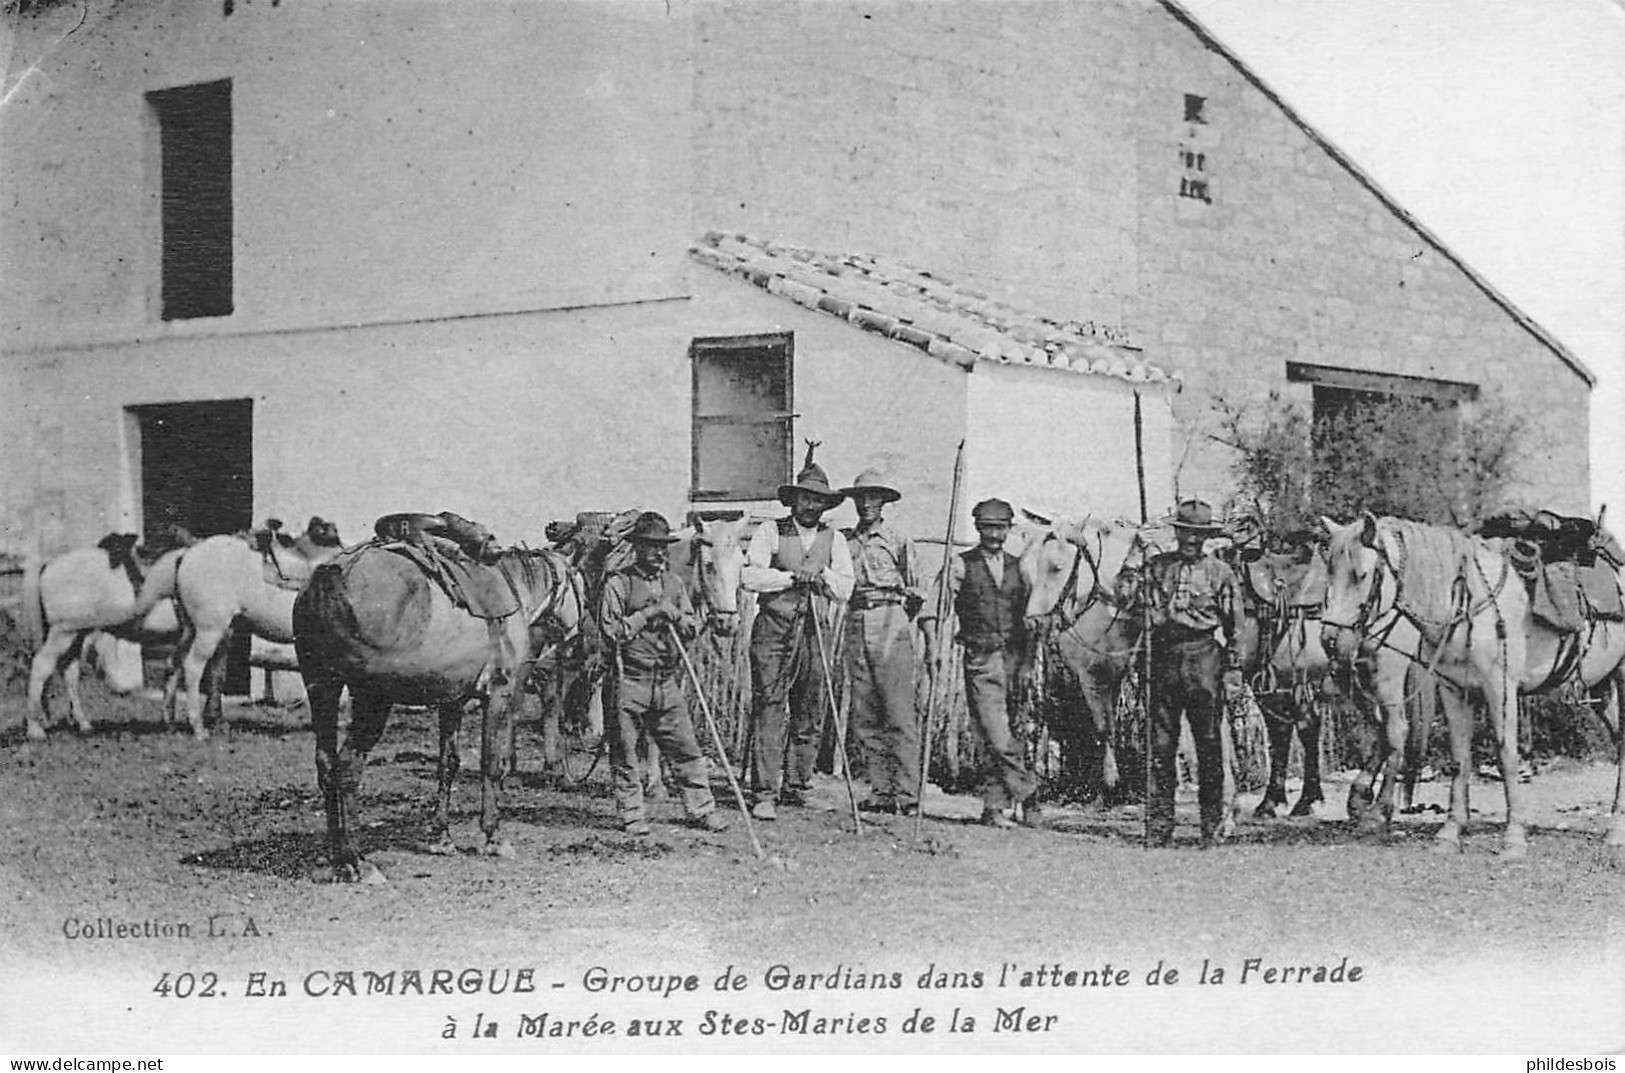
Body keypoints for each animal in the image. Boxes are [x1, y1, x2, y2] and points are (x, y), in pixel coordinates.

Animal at [1326, 516, 1618, 858]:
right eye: (1328, 571)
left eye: (1361, 574)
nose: (1330, 641)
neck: (1467, 604)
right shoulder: (1453, 690)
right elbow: (1459, 758)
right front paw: (1450, 832)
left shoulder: (1500, 688)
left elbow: (1507, 756)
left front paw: (1514, 838)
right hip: (1604, 686)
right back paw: (1616, 829)